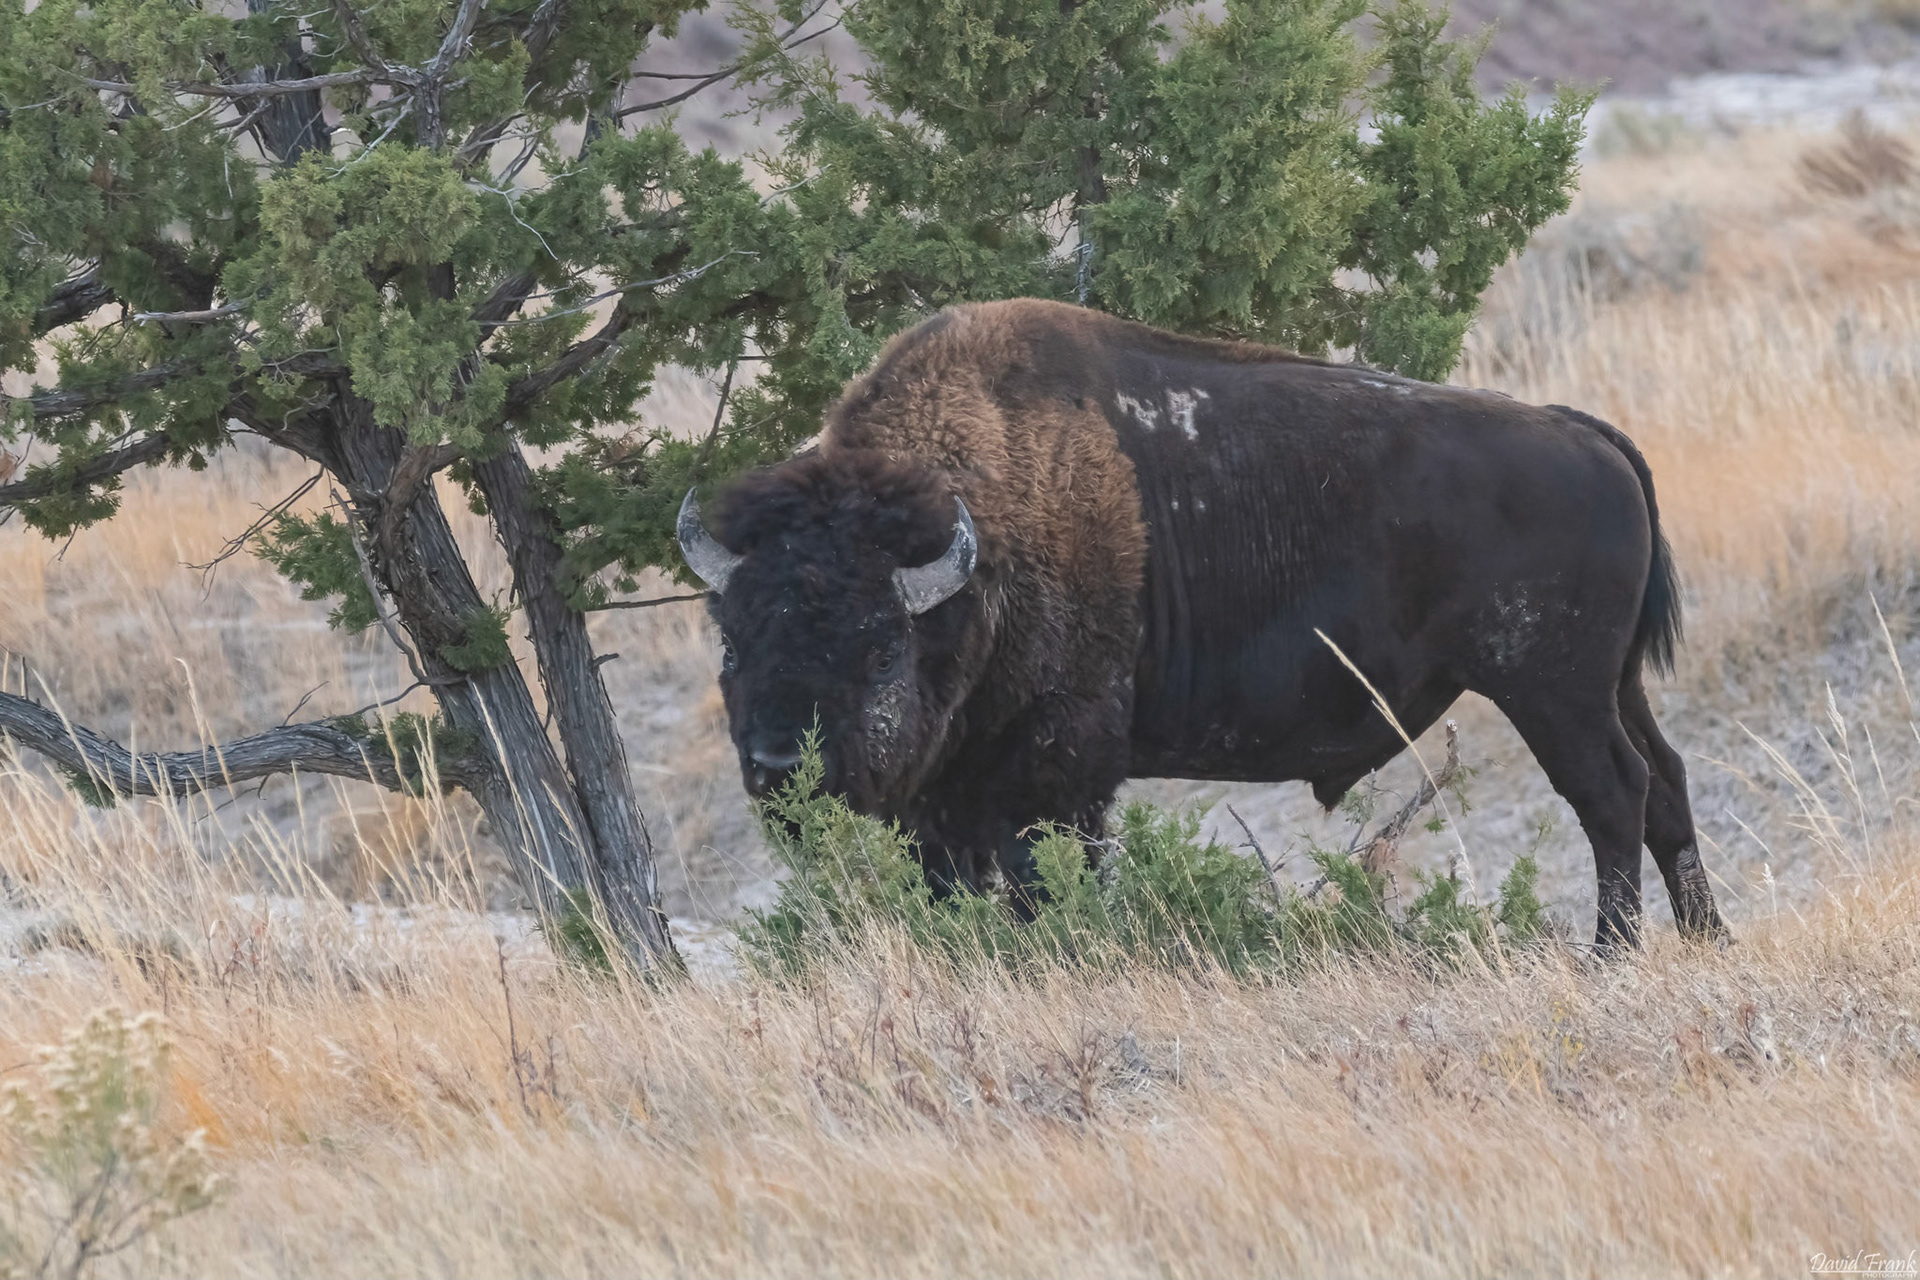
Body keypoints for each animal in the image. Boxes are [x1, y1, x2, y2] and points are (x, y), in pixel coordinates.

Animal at [678, 299, 1726, 948]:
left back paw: (1610, 954)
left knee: (1612, 794)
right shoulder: (944, 797)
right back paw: (1706, 940)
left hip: (1551, 690)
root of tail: (1580, 431)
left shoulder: (1057, 770)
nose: (777, 767)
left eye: (881, 646)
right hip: (1611, 684)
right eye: (732, 638)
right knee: (1666, 783)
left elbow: (1040, 877)